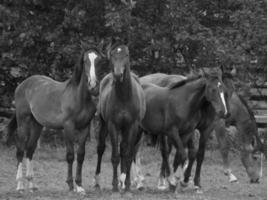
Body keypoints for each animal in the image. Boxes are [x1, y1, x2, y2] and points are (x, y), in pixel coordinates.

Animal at [4, 42, 105, 194]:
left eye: (99, 60)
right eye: (85, 61)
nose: (93, 85)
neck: (78, 97)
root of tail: (22, 85)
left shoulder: (85, 127)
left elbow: (81, 155)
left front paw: (79, 186)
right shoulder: (68, 127)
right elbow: (70, 155)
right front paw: (70, 185)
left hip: (37, 125)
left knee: (30, 150)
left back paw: (32, 184)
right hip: (23, 121)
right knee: (20, 150)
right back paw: (20, 185)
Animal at [93, 43, 146, 191]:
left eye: (126, 55)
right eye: (112, 56)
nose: (118, 75)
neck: (124, 97)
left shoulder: (132, 126)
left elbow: (127, 155)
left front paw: (126, 185)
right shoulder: (113, 125)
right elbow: (115, 156)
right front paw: (115, 185)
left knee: (124, 149)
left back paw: (123, 181)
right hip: (104, 125)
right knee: (101, 149)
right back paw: (97, 181)